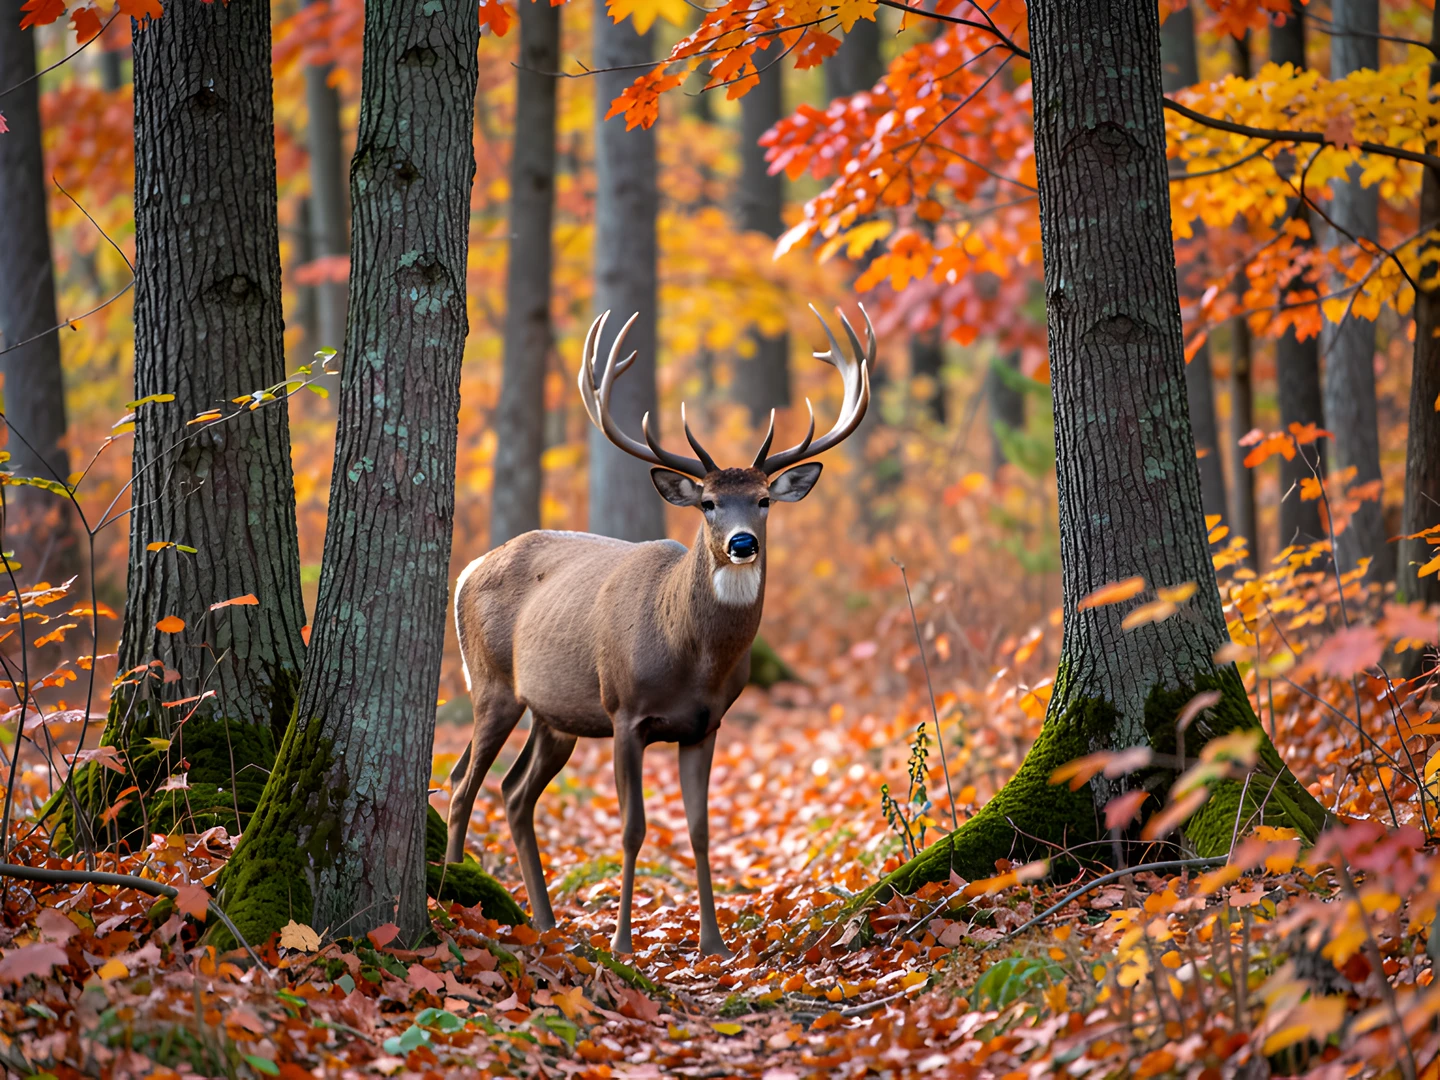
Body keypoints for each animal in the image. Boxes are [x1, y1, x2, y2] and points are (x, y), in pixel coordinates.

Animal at [446, 304, 872, 957]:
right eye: (708, 504)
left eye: (764, 500)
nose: (742, 544)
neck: (691, 657)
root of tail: (467, 570)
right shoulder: (625, 712)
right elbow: (632, 827)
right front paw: (624, 943)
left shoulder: (706, 724)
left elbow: (699, 828)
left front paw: (713, 945)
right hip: (492, 684)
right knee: (461, 785)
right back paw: (445, 898)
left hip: (556, 715)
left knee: (514, 794)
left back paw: (545, 923)